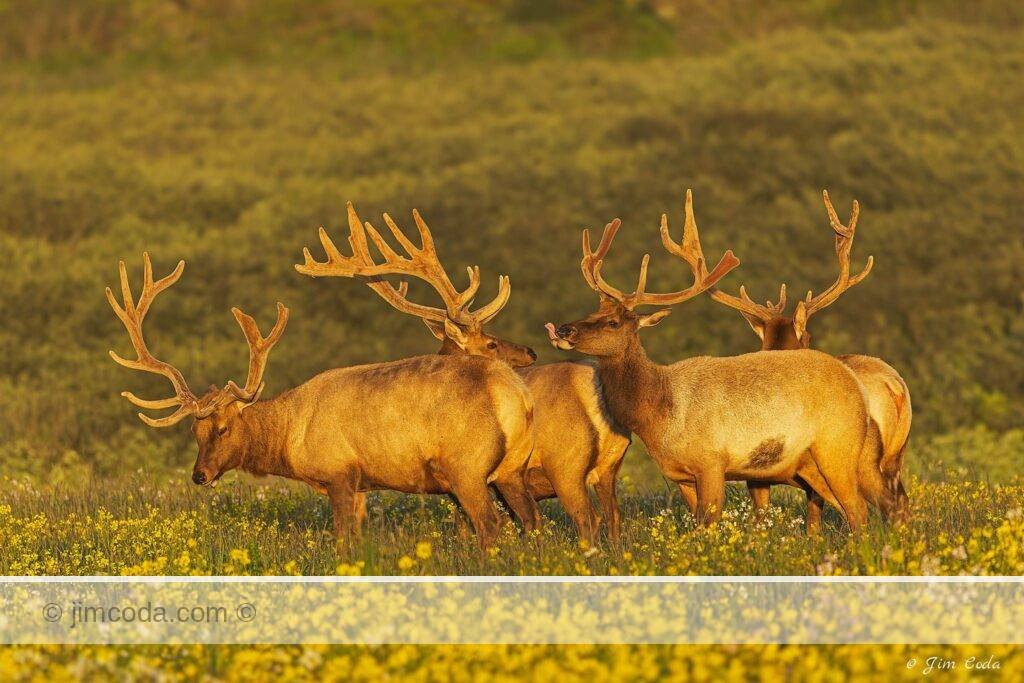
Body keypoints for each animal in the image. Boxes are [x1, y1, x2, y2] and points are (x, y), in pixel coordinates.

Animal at [106, 253, 534, 547]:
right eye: (195, 433)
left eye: (224, 428)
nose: (199, 475)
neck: (292, 437)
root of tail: (515, 392)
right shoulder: (361, 484)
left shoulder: (339, 472)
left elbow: (342, 543)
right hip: (510, 470)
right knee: (531, 521)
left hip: (467, 467)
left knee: (492, 525)